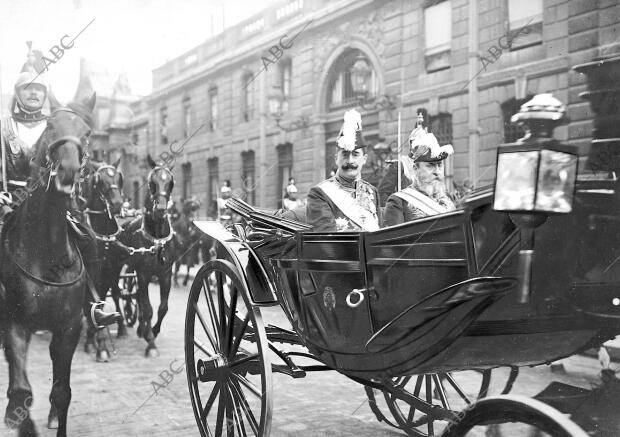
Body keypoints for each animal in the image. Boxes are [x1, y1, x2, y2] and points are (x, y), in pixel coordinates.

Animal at [0, 93, 94, 436]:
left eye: (87, 132)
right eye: (51, 125)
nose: (67, 171)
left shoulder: (69, 327)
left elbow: (62, 392)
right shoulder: (14, 325)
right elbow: (20, 392)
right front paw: (18, 419)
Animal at [118, 155, 177, 356]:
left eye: (171, 182)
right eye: (152, 182)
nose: (160, 209)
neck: (156, 239)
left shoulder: (165, 275)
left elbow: (163, 308)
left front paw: (153, 331)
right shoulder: (143, 274)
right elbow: (148, 308)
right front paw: (150, 342)